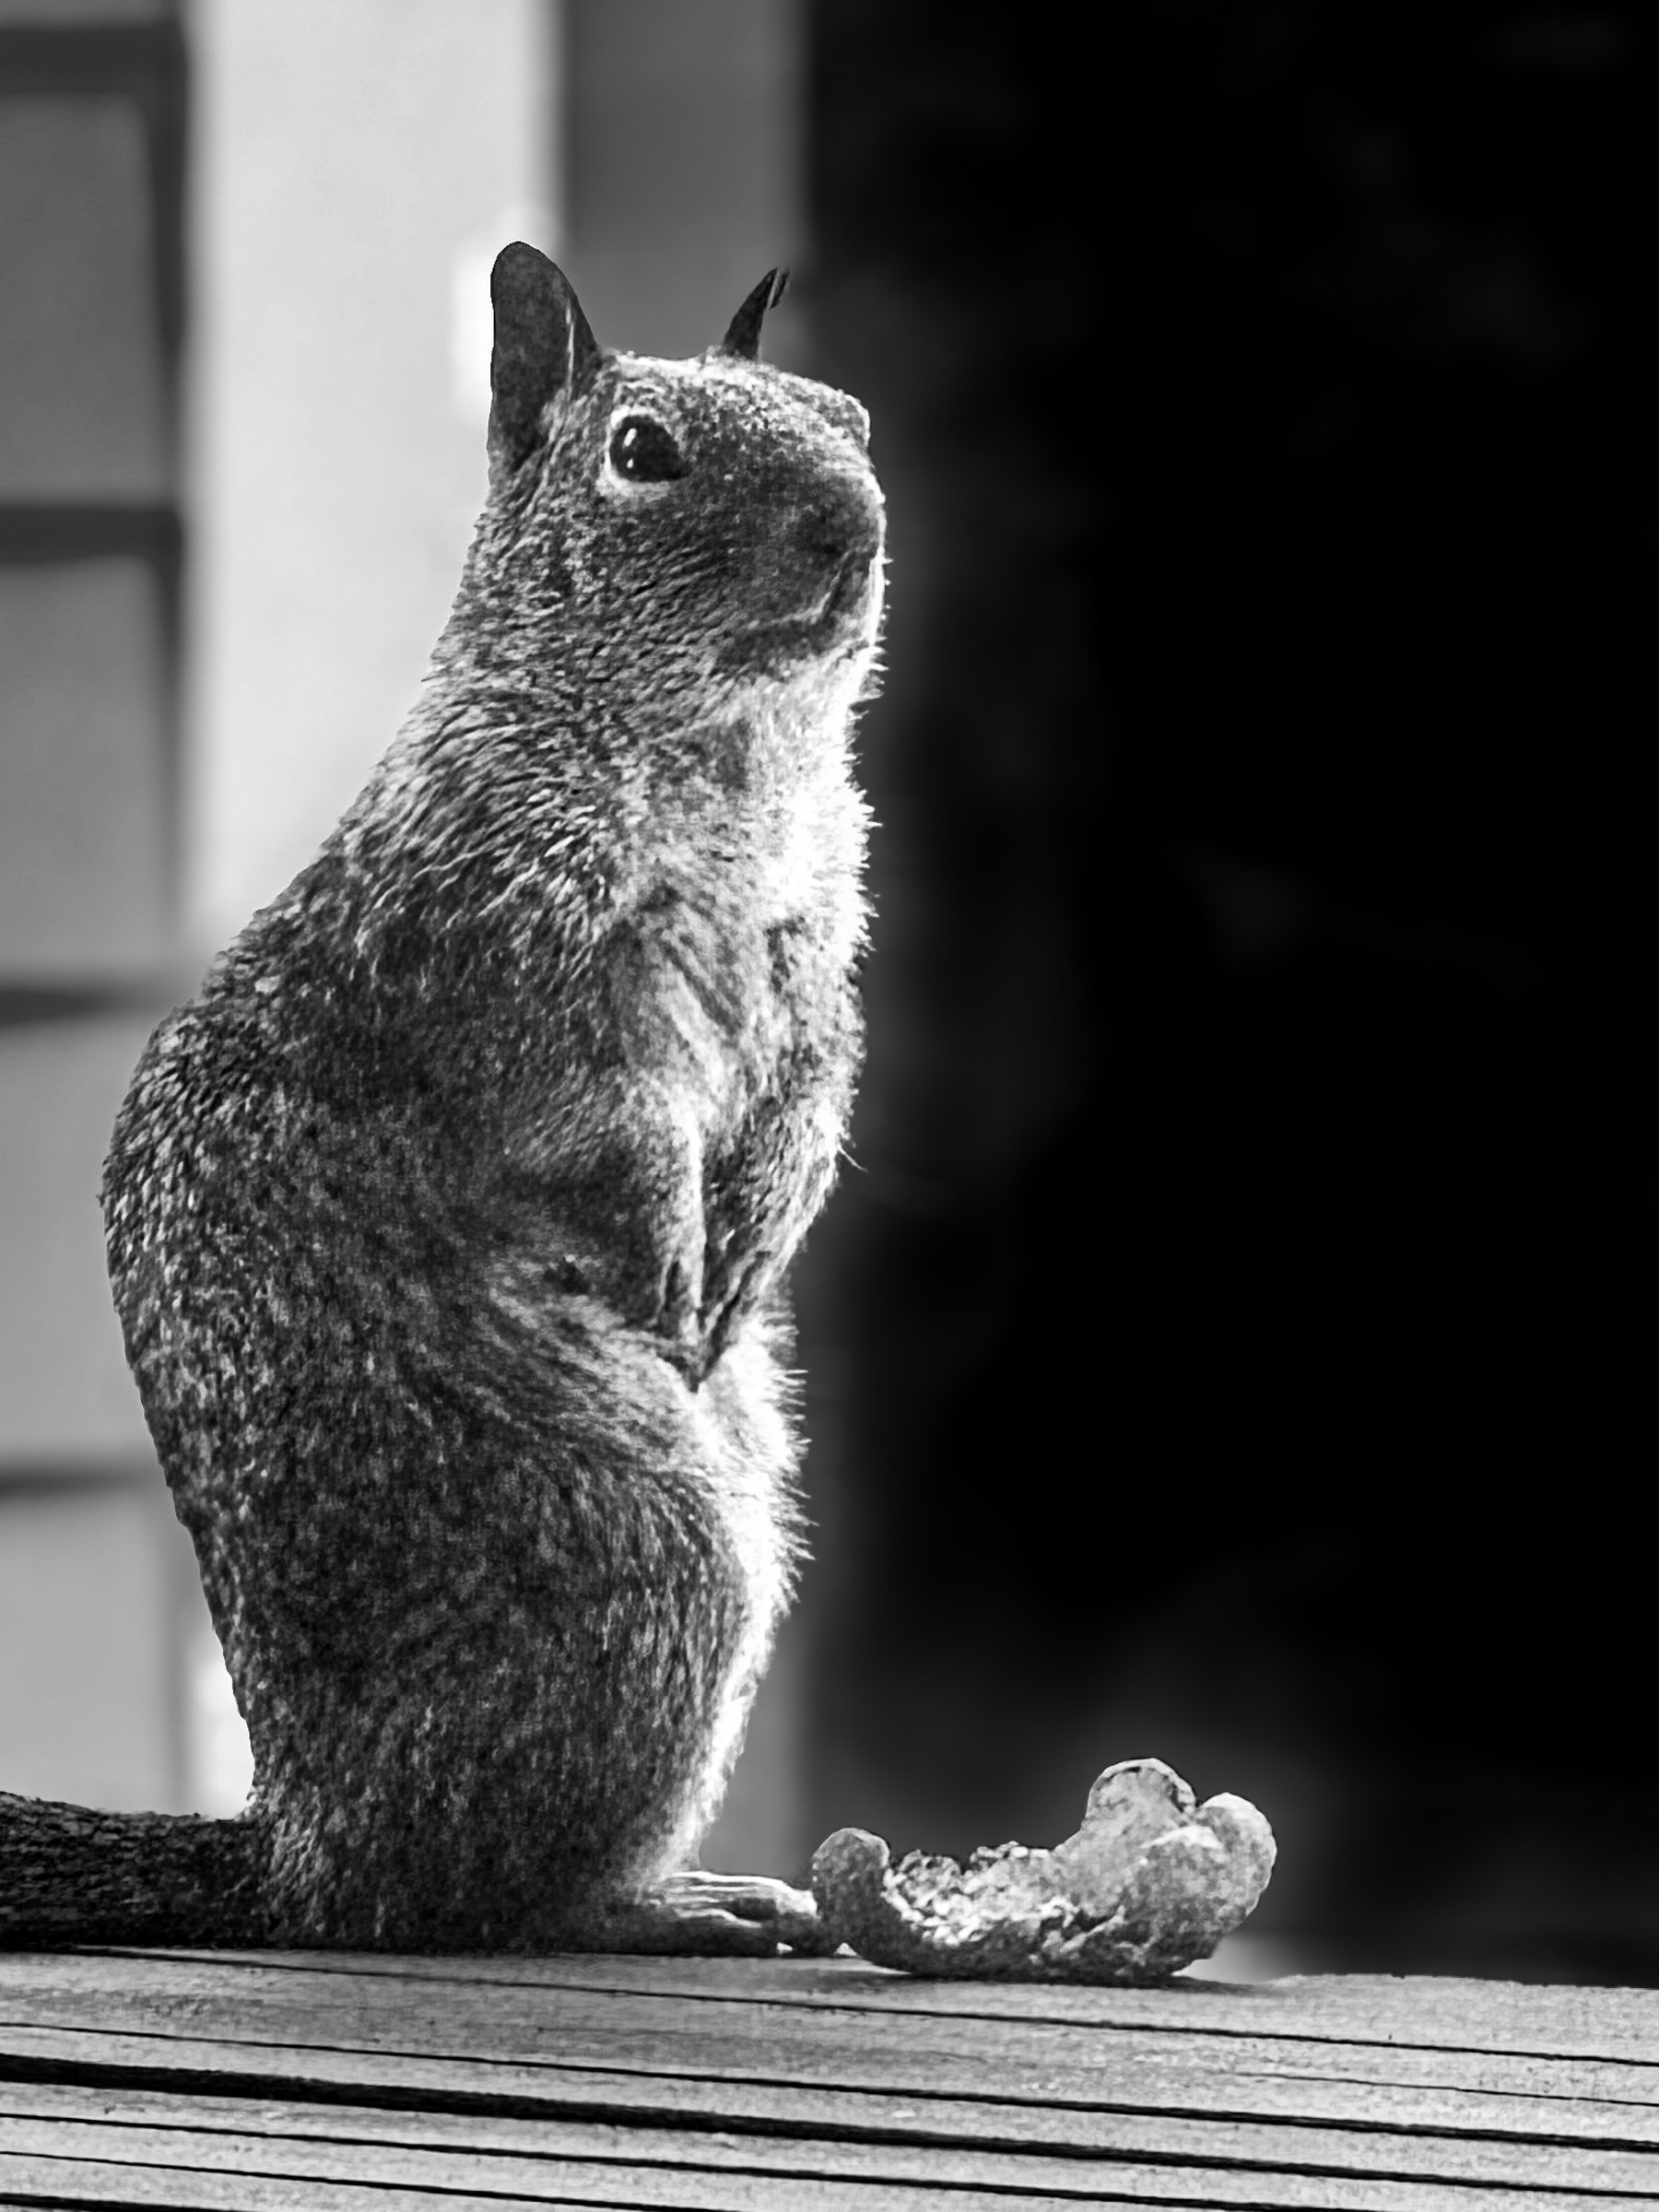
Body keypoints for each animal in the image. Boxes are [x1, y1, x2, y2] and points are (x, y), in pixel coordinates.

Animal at [0, 246, 884, 1953]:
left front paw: (756, 1244)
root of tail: (302, 1847)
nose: (856, 528)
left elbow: (812, 1095)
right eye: (641, 452)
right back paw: (653, 1906)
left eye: (850, 411)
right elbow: (614, 1123)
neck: (735, 756)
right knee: (465, 1897)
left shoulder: (819, 955)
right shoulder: (516, 965)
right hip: (647, 1556)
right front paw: (677, 1249)